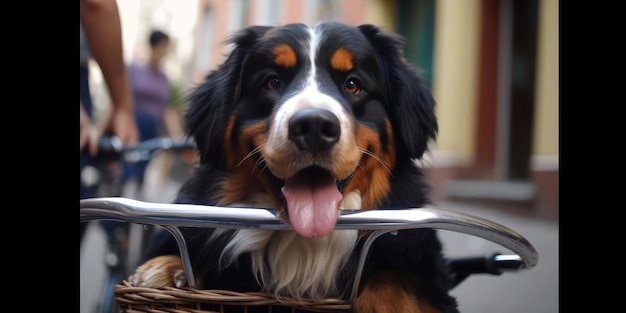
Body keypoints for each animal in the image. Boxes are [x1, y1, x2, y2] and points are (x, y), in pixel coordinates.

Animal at [132, 22, 456, 312]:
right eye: (272, 82)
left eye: (353, 84)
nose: (314, 126)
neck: (304, 247)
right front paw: (166, 268)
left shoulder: (423, 260)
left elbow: (397, 280)